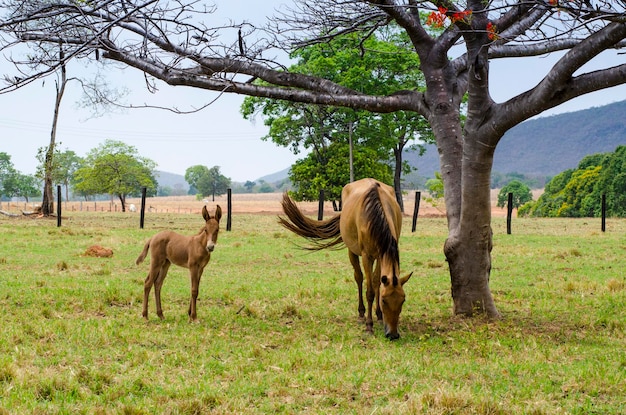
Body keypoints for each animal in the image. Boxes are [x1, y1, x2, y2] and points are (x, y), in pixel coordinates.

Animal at [280, 179, 410, 342]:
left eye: (403, 300)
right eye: (384, 300)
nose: (393, 334)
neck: (375, 214)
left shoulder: (381, 255)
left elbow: (376, 283)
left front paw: (379, 316)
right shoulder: (366, 256)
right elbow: (369, 291)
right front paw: (369, 326)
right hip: (352, 252)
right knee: (359, 278)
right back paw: (361, 314)